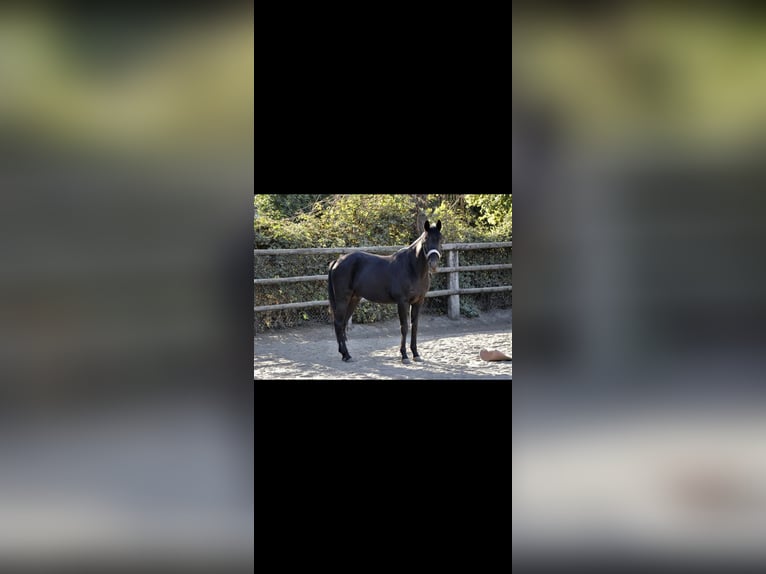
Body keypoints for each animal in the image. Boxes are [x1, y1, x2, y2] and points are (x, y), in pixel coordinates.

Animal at [327, 219, 444, 363]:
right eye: (426, 240)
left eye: (441, 239)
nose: (433, 265)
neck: (412, 268)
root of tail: (337, 261)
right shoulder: (402, 302)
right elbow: (404, 327)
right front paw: (404, 356)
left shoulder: (418, 301)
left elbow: (414, 327)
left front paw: (416, 354)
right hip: (342, 299)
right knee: (338, 323)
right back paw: (346, 355)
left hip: (353, 299)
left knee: (343, 323)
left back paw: (345, 354)